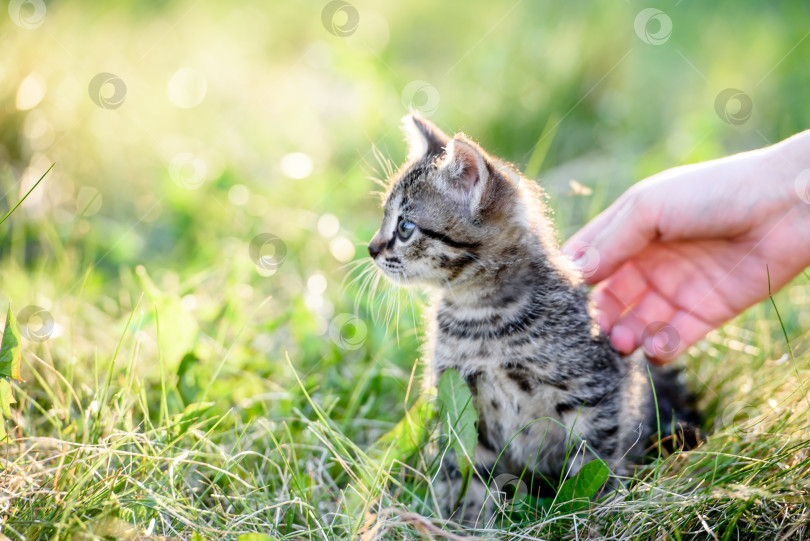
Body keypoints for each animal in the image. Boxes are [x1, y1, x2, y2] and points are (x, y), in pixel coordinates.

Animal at [366, 114, 696, 524]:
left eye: (405, 227)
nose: (371, 249)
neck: (483, 321)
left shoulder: (593, 391)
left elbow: (592, 460)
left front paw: (588, 516)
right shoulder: (463, 405)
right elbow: (473, 473)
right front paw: (474, 523)